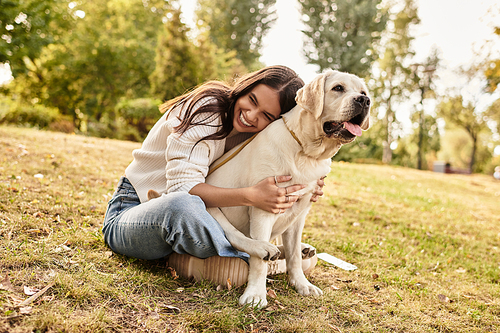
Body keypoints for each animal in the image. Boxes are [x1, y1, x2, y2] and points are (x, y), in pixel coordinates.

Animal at [203, 70, 372, 306]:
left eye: (364, 93)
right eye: (338, 88)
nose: (364, 101)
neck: (306, 152)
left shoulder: (300, 211)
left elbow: (293, 256)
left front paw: (301, 284)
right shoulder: (264, 206)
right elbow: (258, 264)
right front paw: (255, 294)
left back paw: (300, 249)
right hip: (209, 205)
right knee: (234, 237)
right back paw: (263, 248)